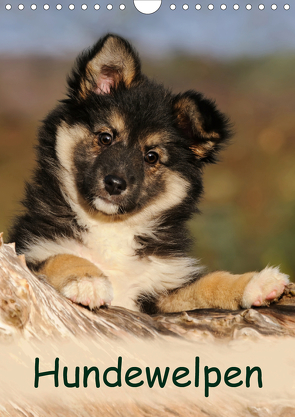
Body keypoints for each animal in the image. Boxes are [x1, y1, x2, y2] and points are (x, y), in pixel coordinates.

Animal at [7, 34, 292, 312]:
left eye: (151, 156)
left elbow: (206, 283)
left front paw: (256, 283)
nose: (114, 184)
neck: (111, 226)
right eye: (105, 137)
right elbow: (62, 256)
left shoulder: (161, 292)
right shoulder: (30, 251)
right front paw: (88, 280)